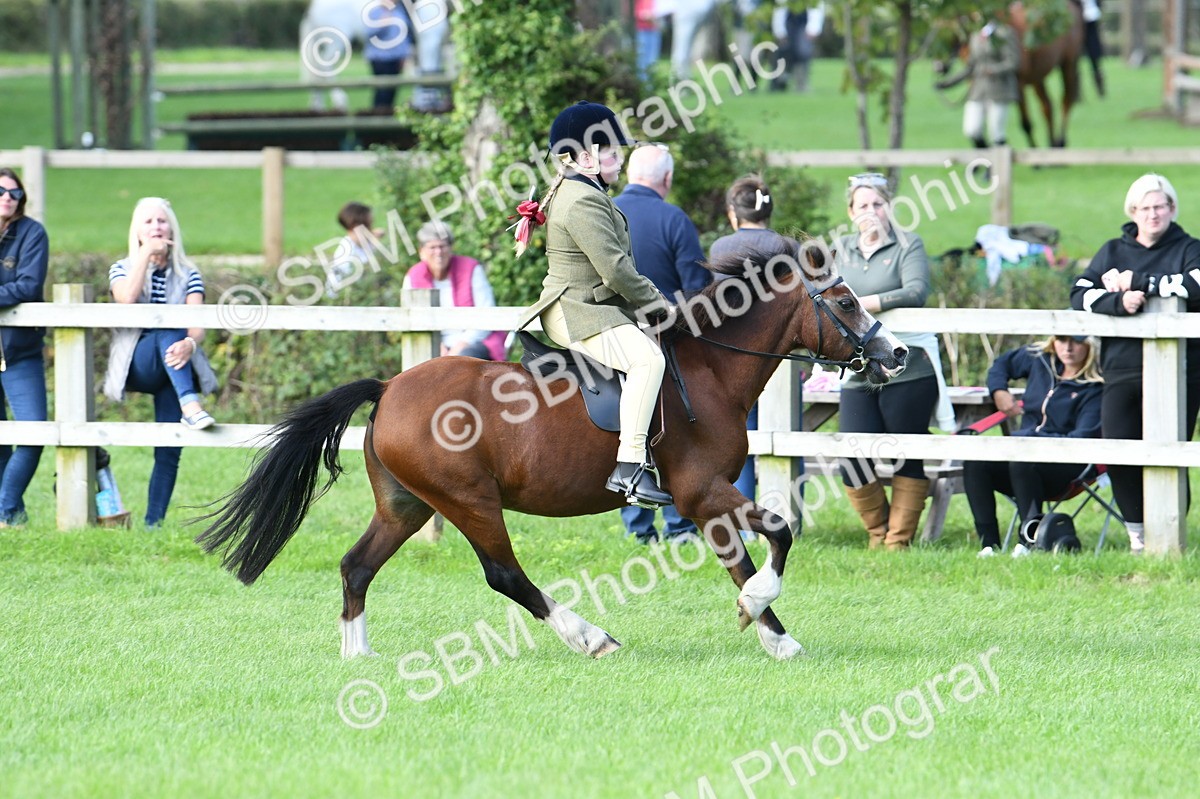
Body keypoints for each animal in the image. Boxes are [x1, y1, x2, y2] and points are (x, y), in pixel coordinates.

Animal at [196, 240, 908, 661]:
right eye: (846, 301)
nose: (896, 354)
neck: (710, 368)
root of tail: (391, 386)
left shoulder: (707, 500)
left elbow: (742, 558)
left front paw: (770, 634)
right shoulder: (702, 491)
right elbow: (778, 534)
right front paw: (763, 616)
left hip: (407, 505)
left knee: (356, 566)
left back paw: (357, 657)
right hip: (469, 501)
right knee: (505, 575)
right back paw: (590, 637)